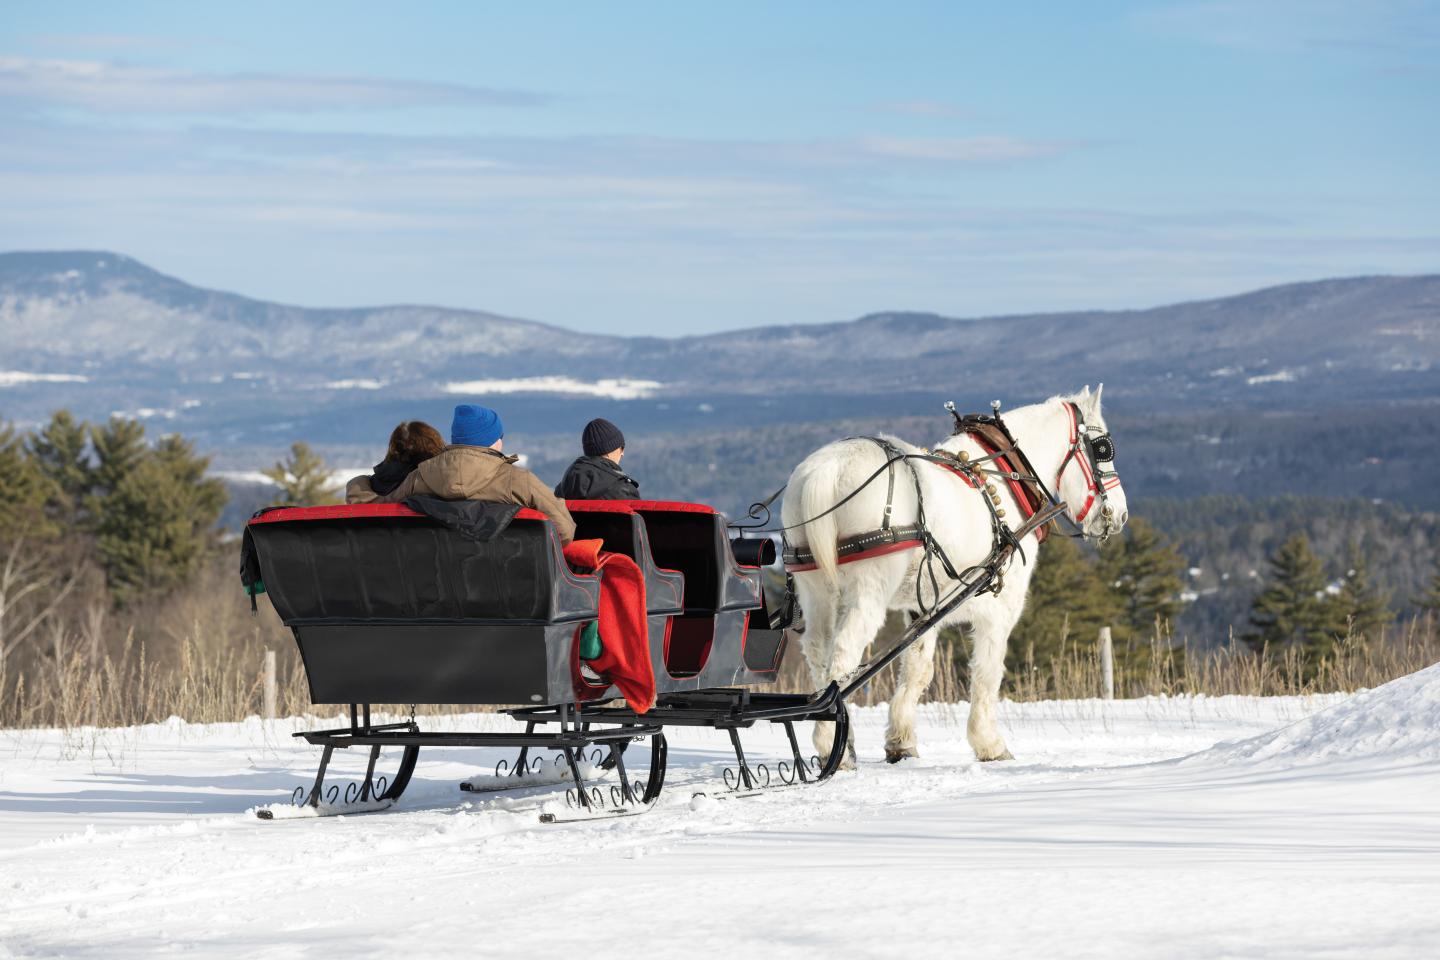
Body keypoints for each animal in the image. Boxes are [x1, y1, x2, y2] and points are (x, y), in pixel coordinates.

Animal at [781, 386, 1128, 766]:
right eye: (1103, 447)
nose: (1121, 515)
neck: (1004, 474)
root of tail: (828, 469)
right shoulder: (1000, 606)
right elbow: (987, 673)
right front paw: (990, 744)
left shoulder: (923, 605)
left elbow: (918, 668)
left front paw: (901, 741)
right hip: (868, 587)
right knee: (843, 655)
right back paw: (836, 749)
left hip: (815, 587)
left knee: (817, 652)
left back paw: (836, 740)